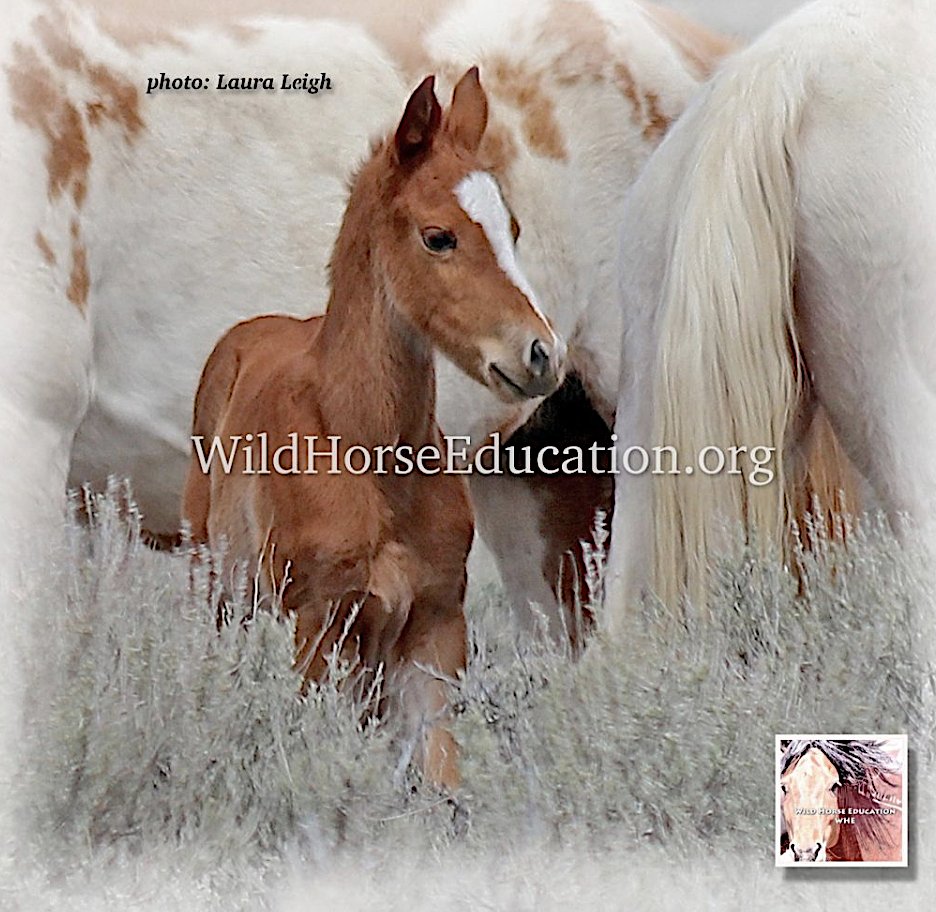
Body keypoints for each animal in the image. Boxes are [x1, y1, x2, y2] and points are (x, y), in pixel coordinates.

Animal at [182, 68, 563, 790]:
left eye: (514, 229)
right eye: (439, 236)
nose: (542, 355)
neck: (367, 452)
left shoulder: (435, 626)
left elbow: (442, 781)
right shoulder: (315, 626)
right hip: (217, 591)